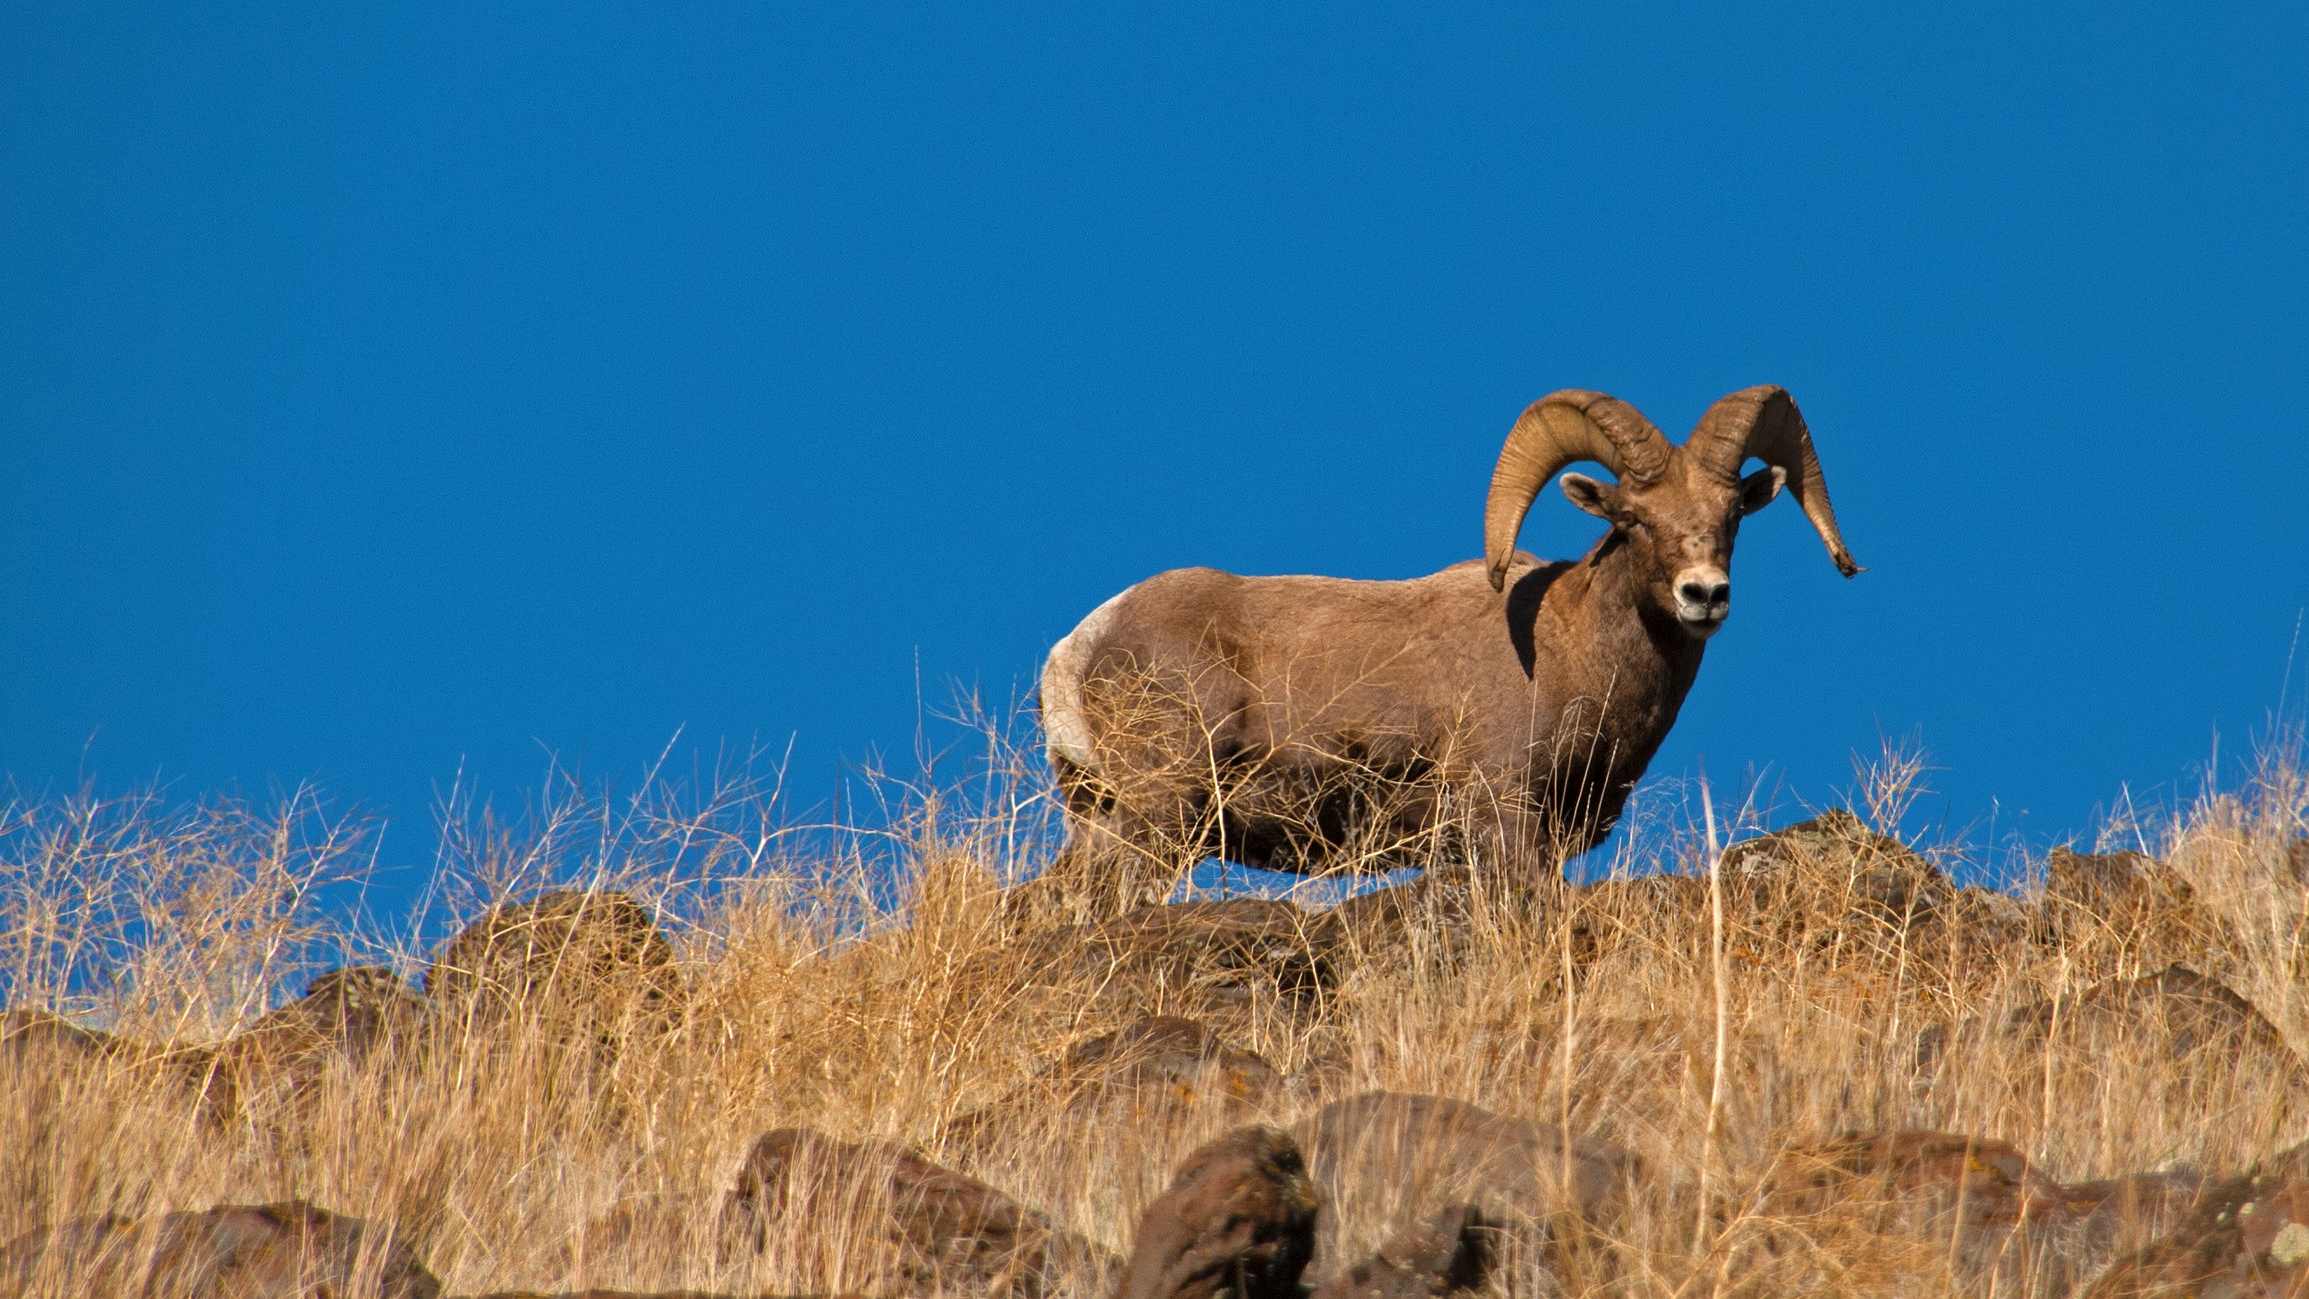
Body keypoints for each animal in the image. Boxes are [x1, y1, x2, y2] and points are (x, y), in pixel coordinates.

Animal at [1043, 385, 1856, 895]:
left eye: (1733, 516)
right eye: (1630, 518)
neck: (1570, 650)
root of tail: (1081, 644)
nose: (1703, 595)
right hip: (1161, 808)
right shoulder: (1503, 818)